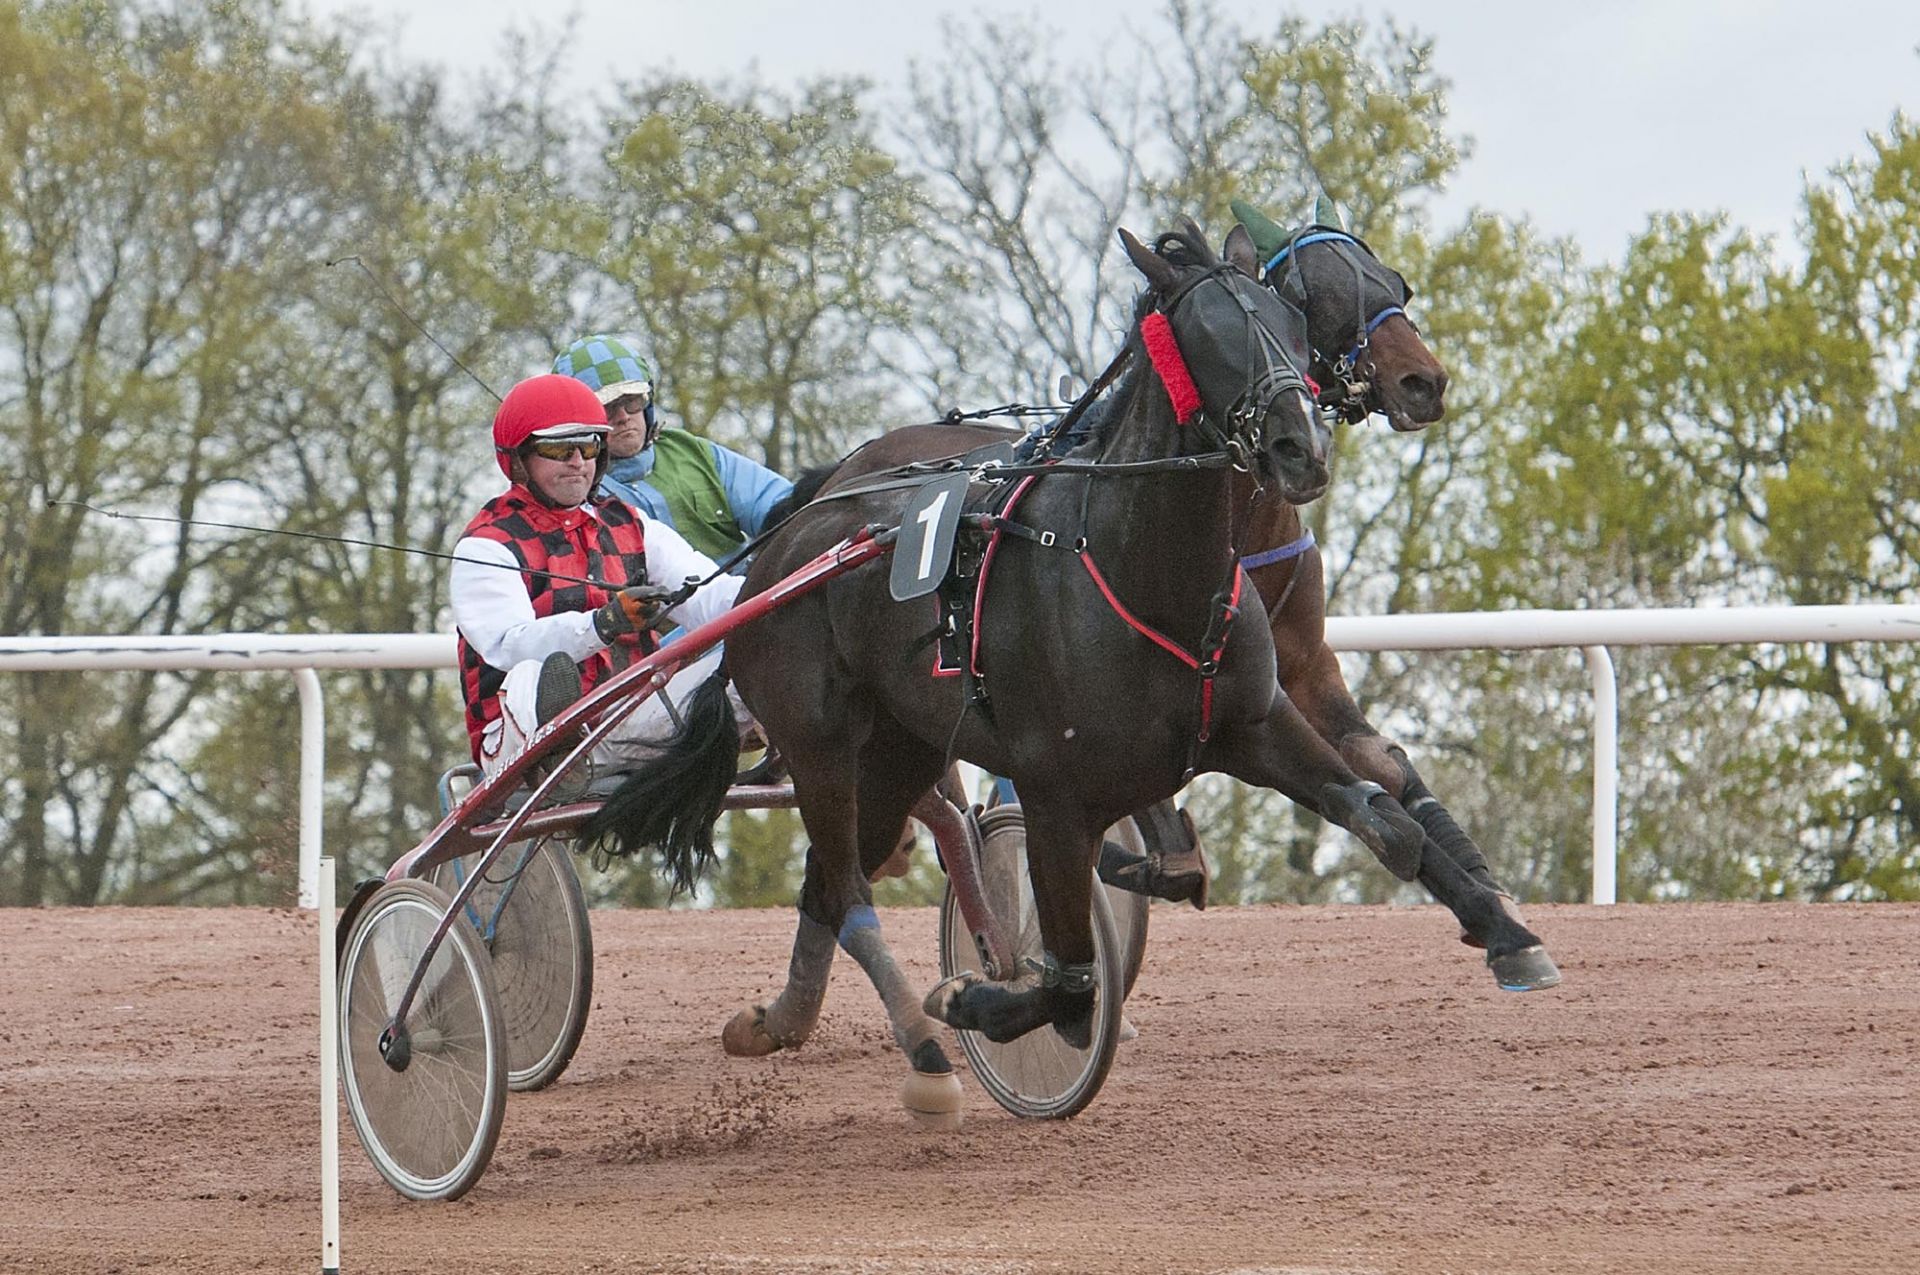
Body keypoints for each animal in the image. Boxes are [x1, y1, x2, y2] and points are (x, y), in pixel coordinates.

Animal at [583, 223, 1466, 1121]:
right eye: (1214, 336)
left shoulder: (1265, 707)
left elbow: (1388, 810)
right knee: (850, 888)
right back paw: (922, 1046)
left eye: (1293, 318)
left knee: (831, 884)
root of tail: (790, 542)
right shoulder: (1057, 793)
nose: (1302, 446)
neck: (1145, 570)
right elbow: (1072, 983)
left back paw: (785, 1020)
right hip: (821, 748)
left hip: (899, 750)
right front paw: (978, 997)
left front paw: (1493, 923)